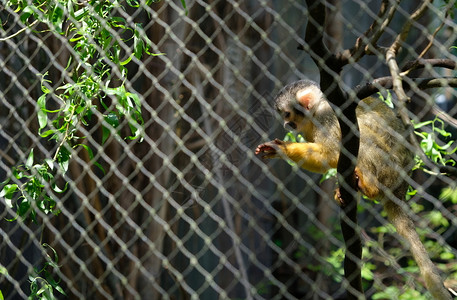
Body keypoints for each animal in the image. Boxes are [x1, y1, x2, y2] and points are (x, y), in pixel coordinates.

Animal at [255, 80, 450, 300]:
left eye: (287, 114)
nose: (286, 125)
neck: (316, 110)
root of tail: (400, 190)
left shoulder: (328, 116)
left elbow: (331, 153)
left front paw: (284, 148)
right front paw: (279, 150)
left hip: (389, 170)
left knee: (361, 139)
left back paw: (369, 187)